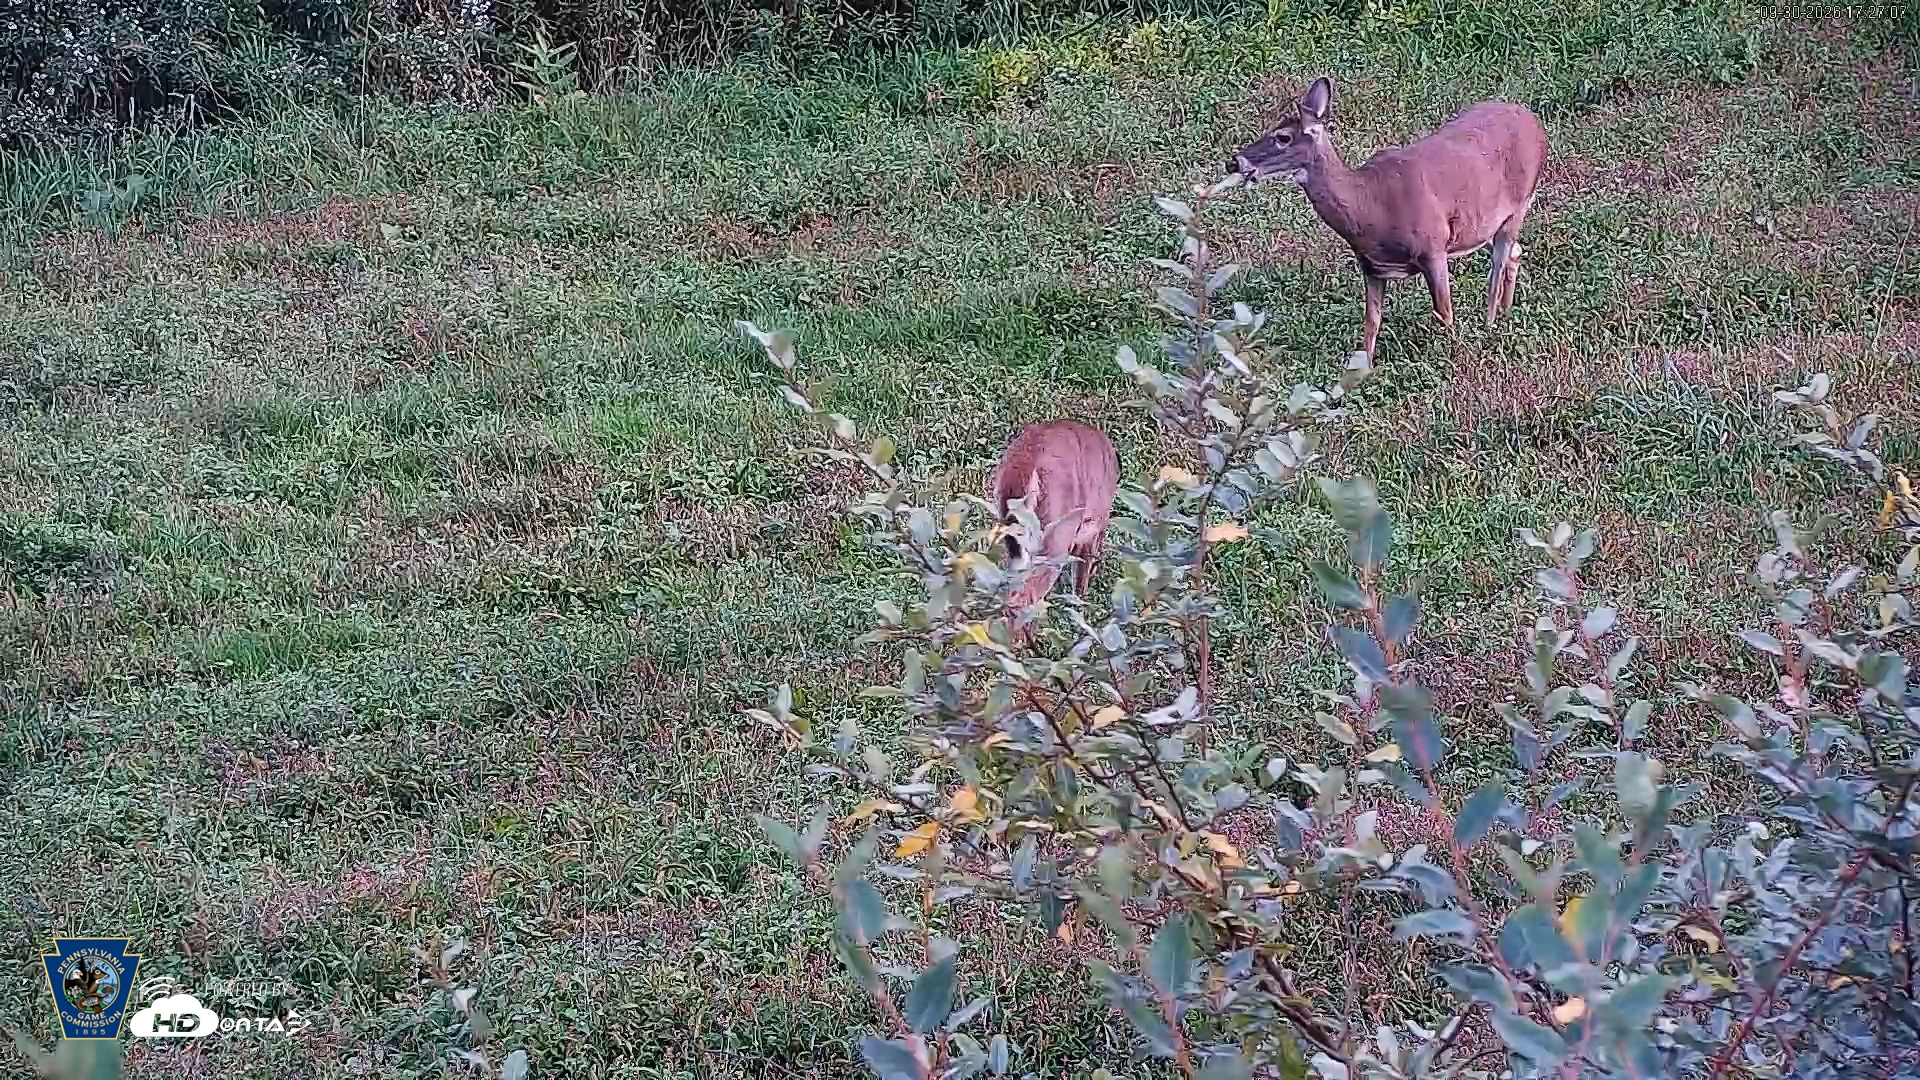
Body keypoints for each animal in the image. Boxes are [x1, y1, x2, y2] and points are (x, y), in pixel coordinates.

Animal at [1228, 76, 1548, 360]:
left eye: (1282, 137)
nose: (1235, 162)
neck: (1371, 205)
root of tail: (1535, 123)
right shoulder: (1372, 265)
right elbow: (1372, 320)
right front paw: (1363, 367)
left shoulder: (1433, 247)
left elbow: (1444, 313)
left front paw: (1452, 355)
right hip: (1482, 224)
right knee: (1515, 252)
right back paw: (1506, 313)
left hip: (1517, 206)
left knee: (1498, 266)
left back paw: (1490, 324)